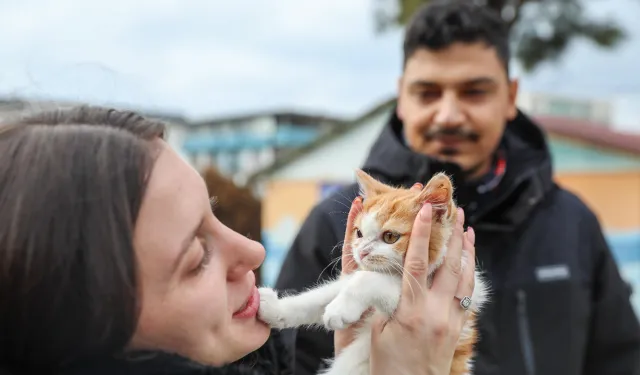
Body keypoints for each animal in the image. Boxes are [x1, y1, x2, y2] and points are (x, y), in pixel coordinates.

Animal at [258, 171, 488, 375]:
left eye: (390, 237)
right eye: (359, 233)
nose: (361, 251)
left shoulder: (416, 298)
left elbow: (367, 279)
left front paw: (340, 308)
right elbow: (321, 295)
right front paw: (277, 308)